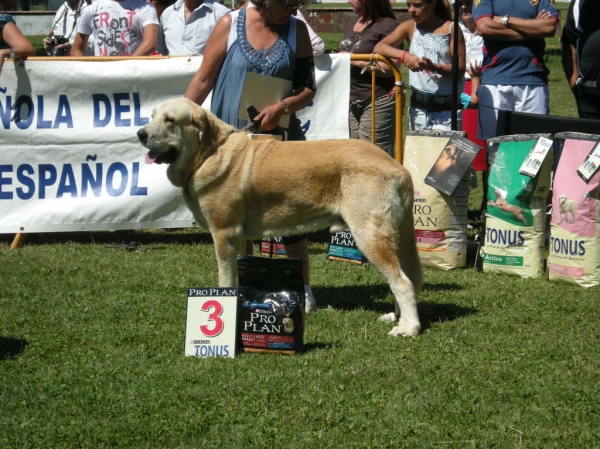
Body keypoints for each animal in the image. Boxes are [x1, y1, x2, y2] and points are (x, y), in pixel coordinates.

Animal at [138, 98, 422, 336]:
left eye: (170, 120)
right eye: (152, 116)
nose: (141, 134)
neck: (208, 152)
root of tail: (398, 168)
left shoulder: (224, 233)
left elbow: (225, 279)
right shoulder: (237, 238)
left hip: (369, 235)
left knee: (401, 282)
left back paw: (408, 328)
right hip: (398, 236)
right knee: (410, 276)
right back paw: (397, 317)